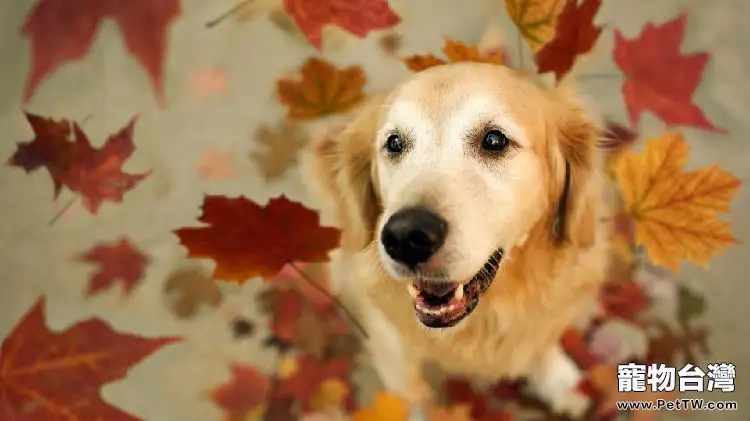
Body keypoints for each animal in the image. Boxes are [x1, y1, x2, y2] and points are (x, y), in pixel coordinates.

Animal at [302, 61, 612, 416]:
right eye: (394, 143)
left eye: (494, 140)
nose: (406, 236)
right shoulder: (392, 349)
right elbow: (415, 401)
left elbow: (541, 341)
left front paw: (558, 380)